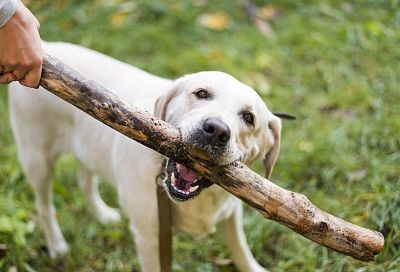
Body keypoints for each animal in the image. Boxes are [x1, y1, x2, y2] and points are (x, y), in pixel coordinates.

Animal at [7, 41, 282, 270]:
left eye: (249, 118)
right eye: (202, 93)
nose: (215, 130)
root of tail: (46, 46)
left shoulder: (231, 214)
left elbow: (241, 250)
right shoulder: (150, 236)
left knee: (85, 179)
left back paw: (102, 214)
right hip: (36, 158)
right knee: (43, 205)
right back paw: (56, 246)